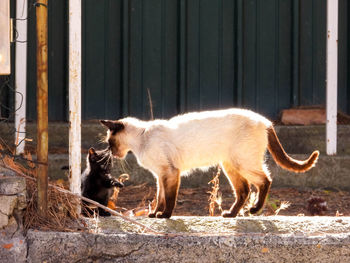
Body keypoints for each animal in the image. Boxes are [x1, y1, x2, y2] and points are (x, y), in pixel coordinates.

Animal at [100, 108, 318, 220]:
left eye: (110, 143)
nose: (112, 153)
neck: (142, 139)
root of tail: (265, 121)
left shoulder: (169, 173)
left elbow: (169, 198)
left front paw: (164, 215)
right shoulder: (159, 175)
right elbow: (159, 197)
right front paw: (154, 214)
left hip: (242, 162)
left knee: (265, 180)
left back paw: (254, 210)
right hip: (230, 165)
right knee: (244, 189)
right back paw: (230, 214)